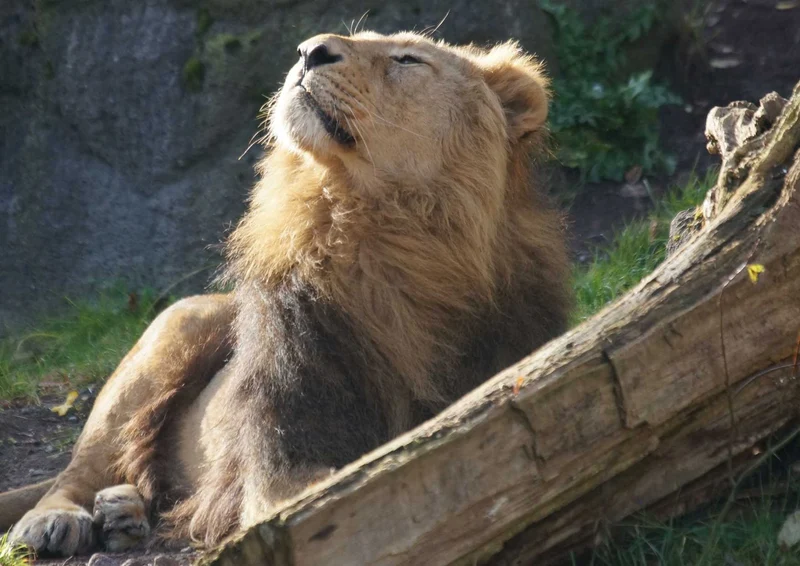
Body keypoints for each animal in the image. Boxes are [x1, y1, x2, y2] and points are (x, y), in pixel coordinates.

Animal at [0, 31, 571, 557]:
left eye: (408, 59)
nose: (309, 50)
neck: (384, 242)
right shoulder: (280, 463)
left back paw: (123, 513)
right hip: (173, 329)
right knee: (78, 470)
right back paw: (57, 520)